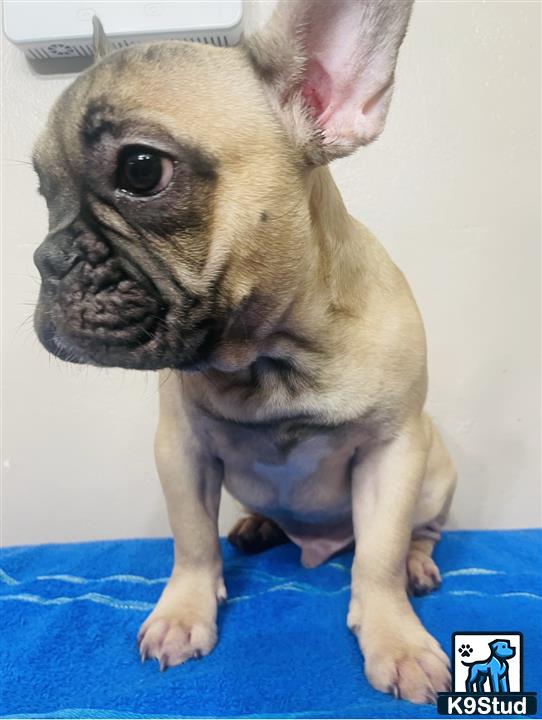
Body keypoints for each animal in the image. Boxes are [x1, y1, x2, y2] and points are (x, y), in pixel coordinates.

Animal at [31, 0, 456, 704]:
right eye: (42, 190)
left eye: (141, 169)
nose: (46, 257)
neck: (272, 359)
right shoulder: (182, 451)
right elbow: (192, 542)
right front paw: (183, 613)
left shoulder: (393, 452)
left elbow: (378, 557)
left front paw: (396, 638)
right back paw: (257, 527)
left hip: (435, 473)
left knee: (417, 534)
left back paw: (418, 566)